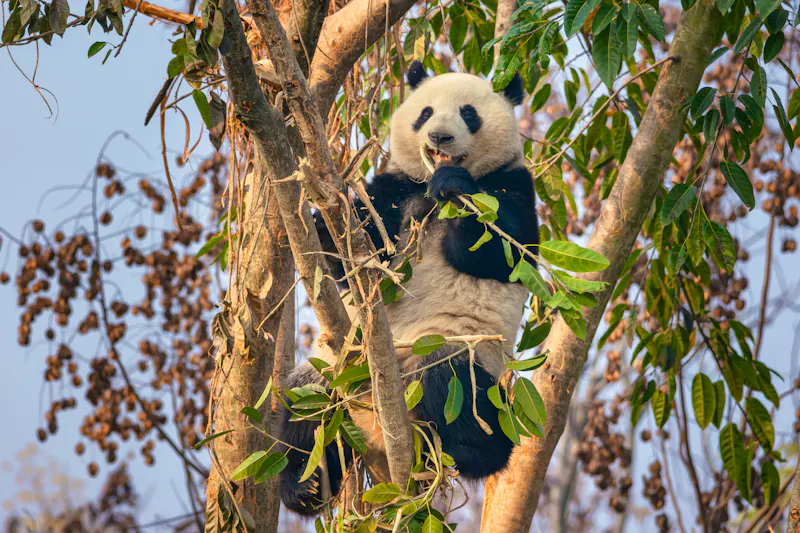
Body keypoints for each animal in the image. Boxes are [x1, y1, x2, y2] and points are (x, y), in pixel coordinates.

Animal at [278, 60, 540, 515]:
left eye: (469, 113)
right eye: (425, 112)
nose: (439, 137)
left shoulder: (514, 185)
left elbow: (506, 252)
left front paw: (454, 184)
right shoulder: (395, 188)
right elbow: (355, 260)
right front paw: (322, 224)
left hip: (456, 350)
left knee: (455, 382)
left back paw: (472, 452)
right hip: (332, 369)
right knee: (303, 411)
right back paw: (304, 486)